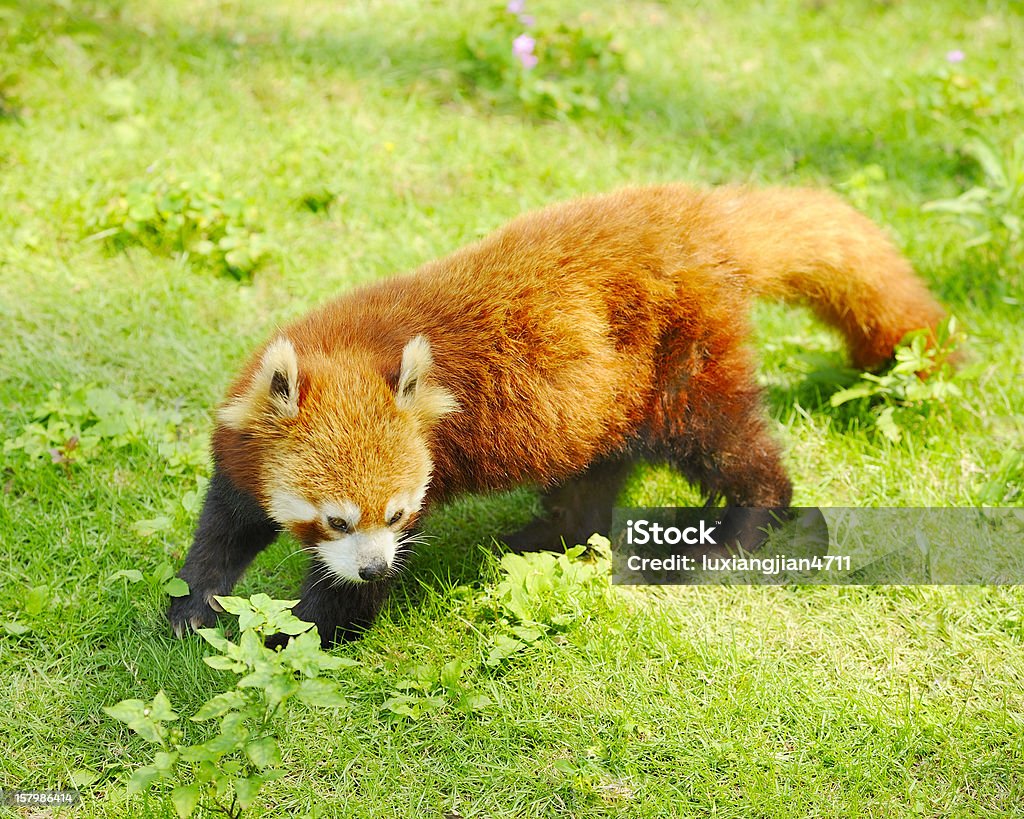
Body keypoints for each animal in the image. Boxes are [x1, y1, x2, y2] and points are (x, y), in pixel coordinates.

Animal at [167, 184, 942, 647]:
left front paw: (291, 639)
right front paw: (191, 607)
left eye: (394, 514)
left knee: (725, 442)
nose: (375, 566)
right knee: (595, 473)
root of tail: (698, 214)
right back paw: (542, 536)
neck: (350, 347)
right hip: (607, 394)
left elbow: (334, 606)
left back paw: (742, 531)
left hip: (682, 358)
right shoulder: (242, 444)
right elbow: (225, 526)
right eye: (335, 520)